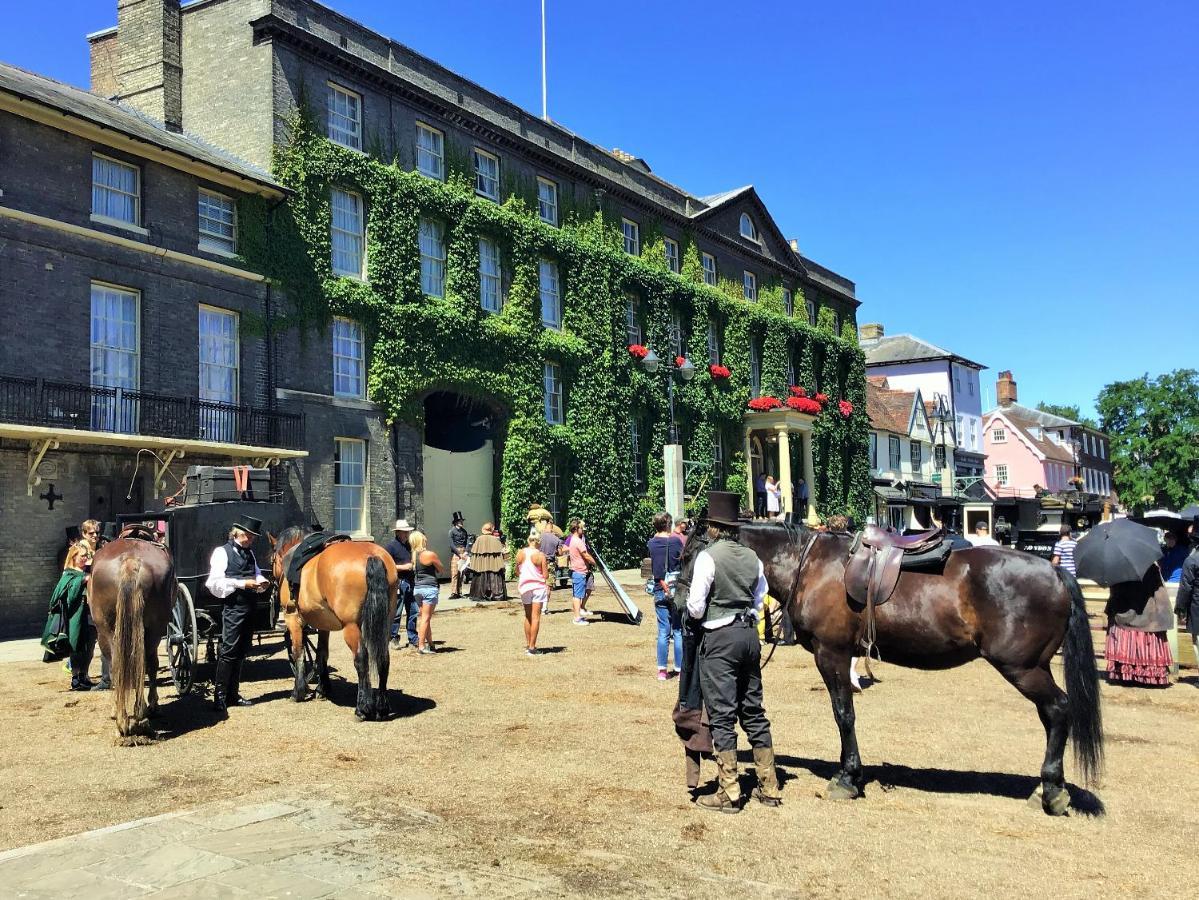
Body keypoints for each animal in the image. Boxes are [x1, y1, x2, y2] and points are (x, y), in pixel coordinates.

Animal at [88, 532, 175, 743]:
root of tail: (130, 560)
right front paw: (152, 705)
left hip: (106, 631)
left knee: (120, 665)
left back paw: (125, 717)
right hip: (152, 631)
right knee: (141, 664)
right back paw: (139, 713)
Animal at [269, 524, 395, 723]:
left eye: (271, 559)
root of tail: (371, 555)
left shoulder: (292, 617)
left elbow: (298, 652)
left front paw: (298, 691)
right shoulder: (323, 624)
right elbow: (322, 653)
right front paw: (323, 688)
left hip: (351, 626)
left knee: (361, 659)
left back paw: (362, 708)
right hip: (385, 623)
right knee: (383, 658)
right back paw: (382, 707)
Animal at [681, 520, 1098, 814]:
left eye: (688, 556)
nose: (680, 606)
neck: (811, 565)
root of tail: (1056, 572)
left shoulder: (831, 654)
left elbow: (843, 714)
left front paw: (848, 778)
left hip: (1022, 668)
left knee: (1058, 709)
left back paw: (1052, 791)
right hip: (1033, 668)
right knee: (1051, 716)